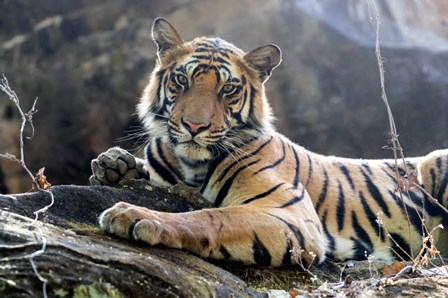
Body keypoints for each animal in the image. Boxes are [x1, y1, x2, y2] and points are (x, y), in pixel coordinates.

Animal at [91, 17, 448, 266]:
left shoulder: (290, 214)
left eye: (228, 89)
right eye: (182, 80)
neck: (190, 165)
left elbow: (210, 216)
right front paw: (113, 164)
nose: (195, 125)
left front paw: (136, 215)